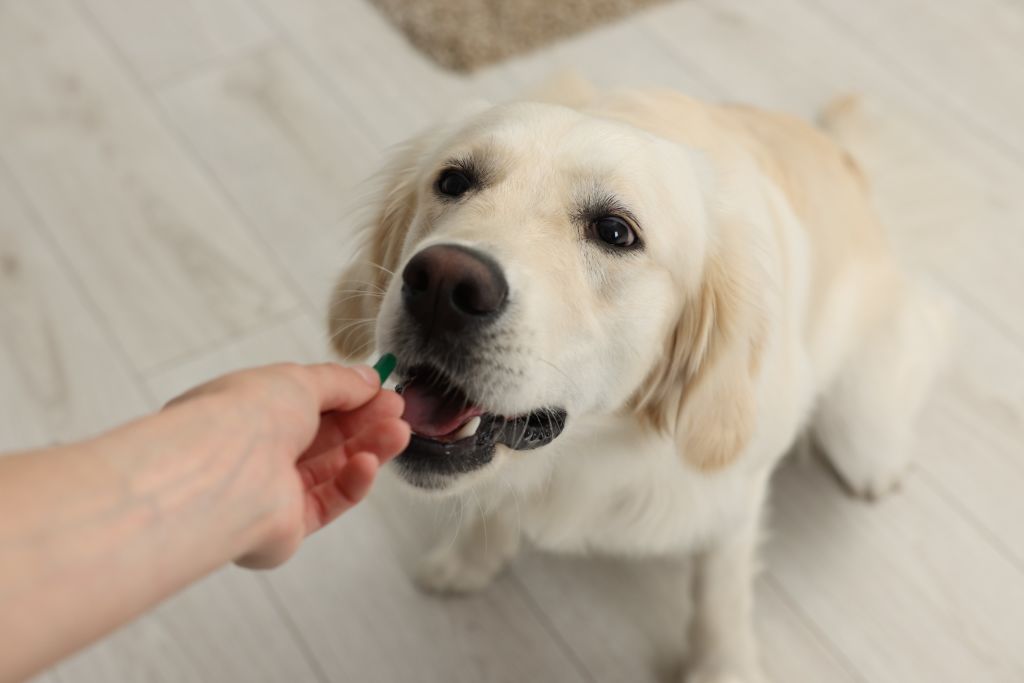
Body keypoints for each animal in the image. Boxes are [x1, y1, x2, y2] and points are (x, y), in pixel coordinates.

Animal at [327, 77, 950, 679]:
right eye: (453, 182)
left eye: (614, 232)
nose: (440, 285)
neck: (587, 452)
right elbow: (497, 503)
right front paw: (468, 561)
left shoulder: (732, 497)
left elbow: (720, 596)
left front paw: (722, 668)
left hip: (859, 402)